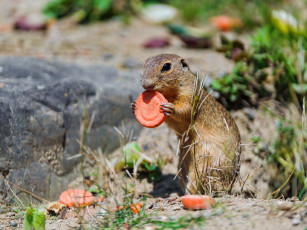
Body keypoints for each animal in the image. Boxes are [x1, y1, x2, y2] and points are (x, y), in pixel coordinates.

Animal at [134, 54, 242, 196]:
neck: (169, 94)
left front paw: (170, 108)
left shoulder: (189, 95)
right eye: (145, 64)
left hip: (203, 167)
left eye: (166, 66)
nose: (145, 84)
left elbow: (184, 109)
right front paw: (133, 106)